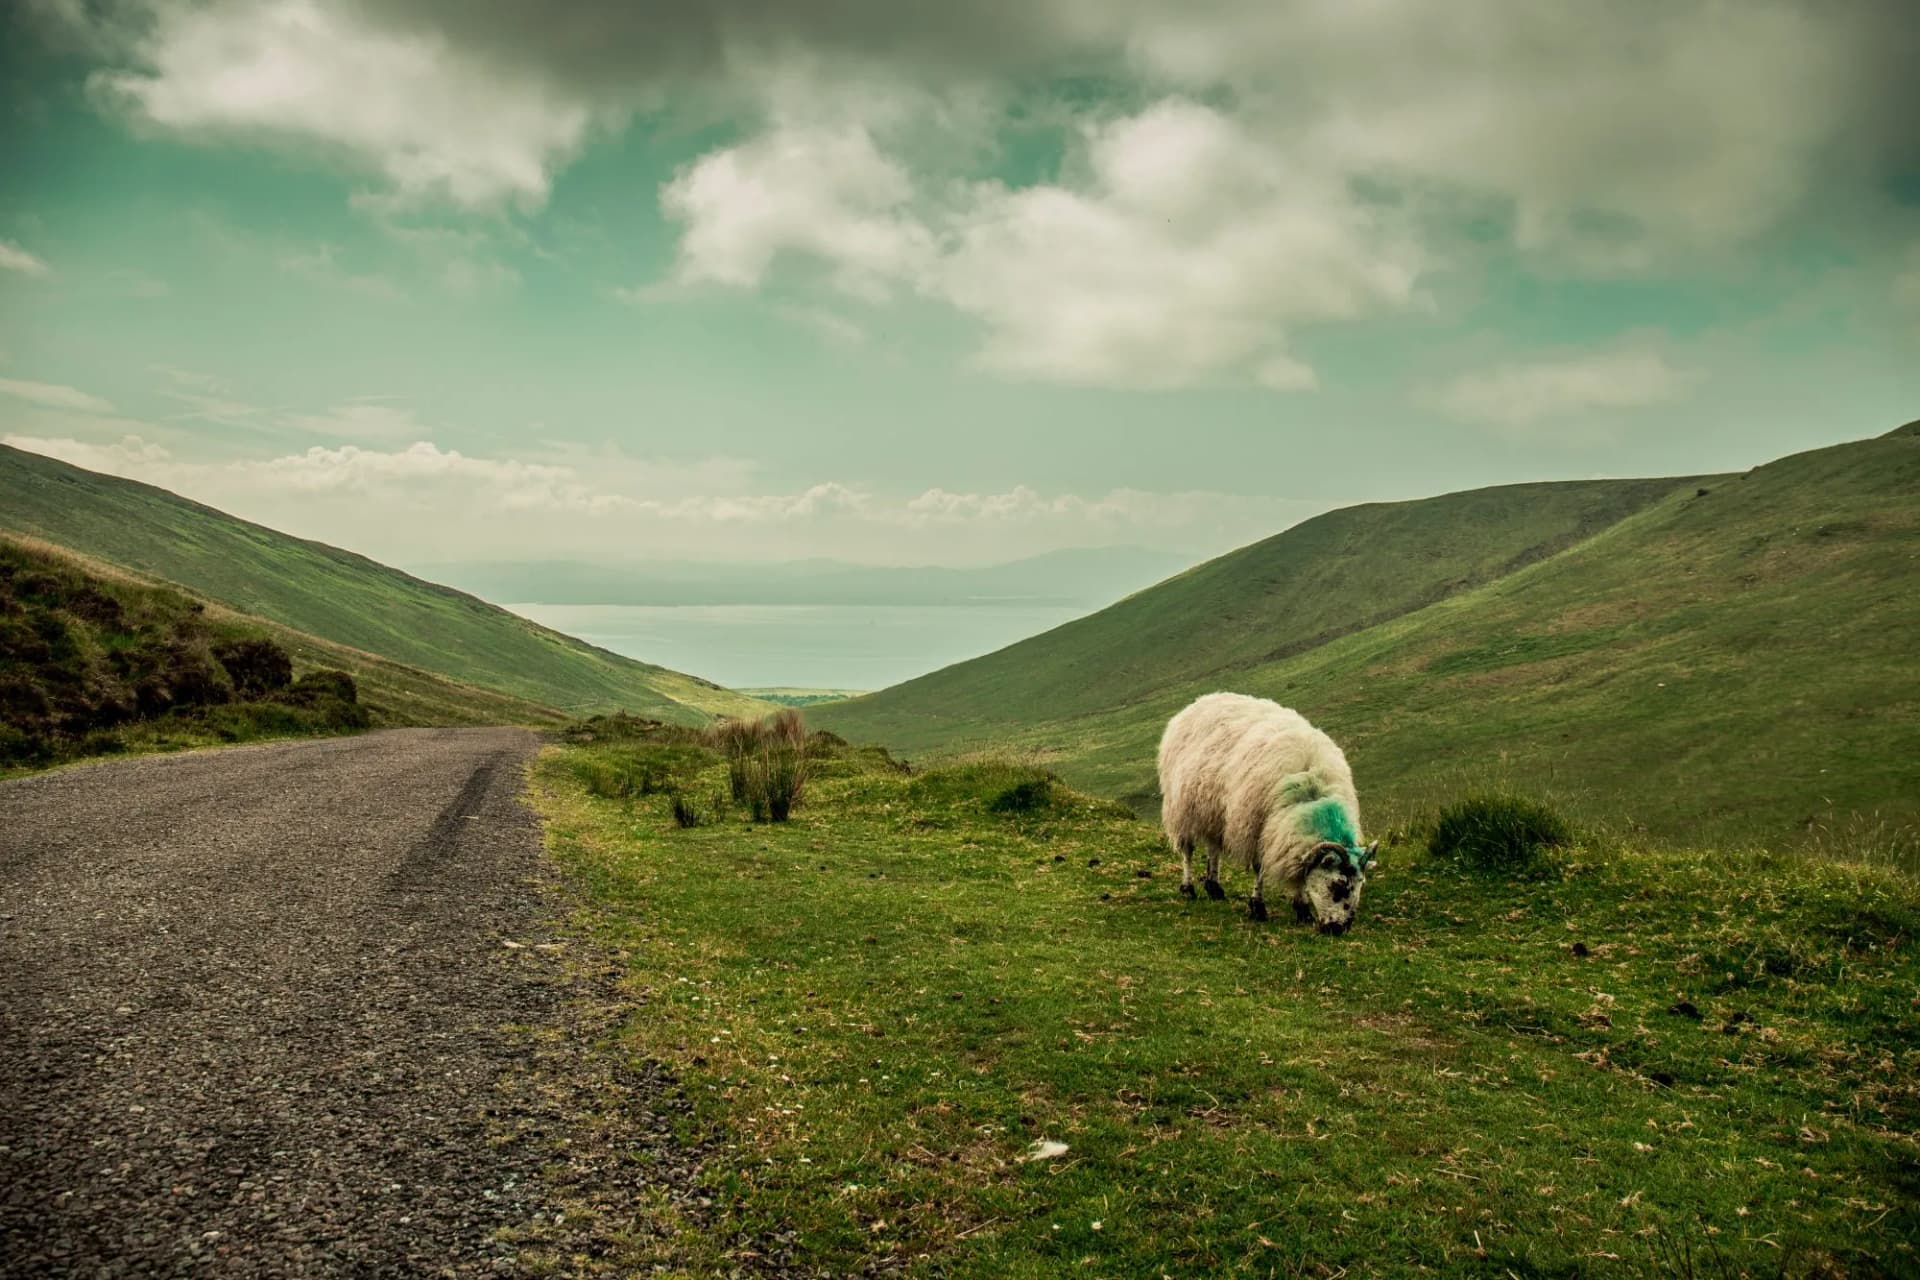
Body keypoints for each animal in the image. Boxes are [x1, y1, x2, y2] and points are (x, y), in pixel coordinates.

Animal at [1157, 692, 1377, 932]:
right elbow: (1259, 868)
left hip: (1214, 810)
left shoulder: (1285, 834)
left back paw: (1214, 887)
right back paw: (1188, 888)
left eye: (1360, 885)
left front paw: (1302, 910)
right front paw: (1258, 907)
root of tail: (1201, 700)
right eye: (1338, 885)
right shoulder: (1254, 826)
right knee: (1187, 849)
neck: (1311, 796)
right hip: (1183, 807)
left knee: (1214, 848)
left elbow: (1299, 872)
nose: (1338, 930)